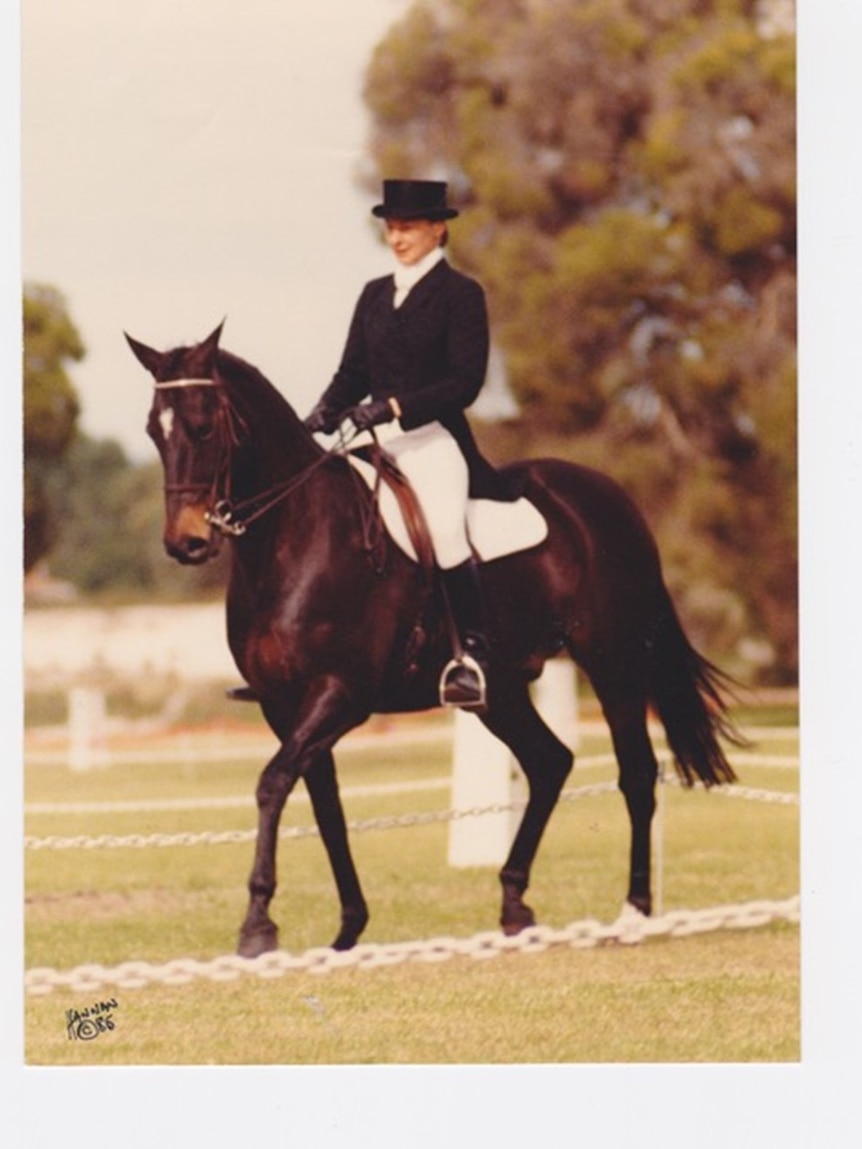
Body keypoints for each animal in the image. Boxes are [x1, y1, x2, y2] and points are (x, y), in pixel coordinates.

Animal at [124, 319, 740, 955]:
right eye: (153, 431)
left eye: (202, 424)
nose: (186, 542)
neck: (292, 539)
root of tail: (611, 498)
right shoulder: (282, 705)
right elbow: (325, 805)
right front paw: (347, 930)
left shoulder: (340, 694)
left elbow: (272, 783)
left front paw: (258, 925)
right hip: (502, 690)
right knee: (550, 762)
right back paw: (515, 906)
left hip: (611, 660)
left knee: (635, 773)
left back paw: (633, 913)